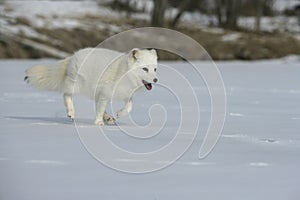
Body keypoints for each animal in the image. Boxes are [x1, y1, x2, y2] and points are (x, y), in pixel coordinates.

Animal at [25, 47, 159, 125]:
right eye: (145, 69)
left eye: (155, 69)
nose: (156, 80)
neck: (123, 72)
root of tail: (73, 55)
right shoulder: (105, 93)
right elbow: (100, 109)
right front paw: (99, 122)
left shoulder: (126, 95)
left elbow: (129, 107)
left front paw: (120, 114)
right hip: (78, 86)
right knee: (66, 94)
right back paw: (71, 113)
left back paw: (108, 118)